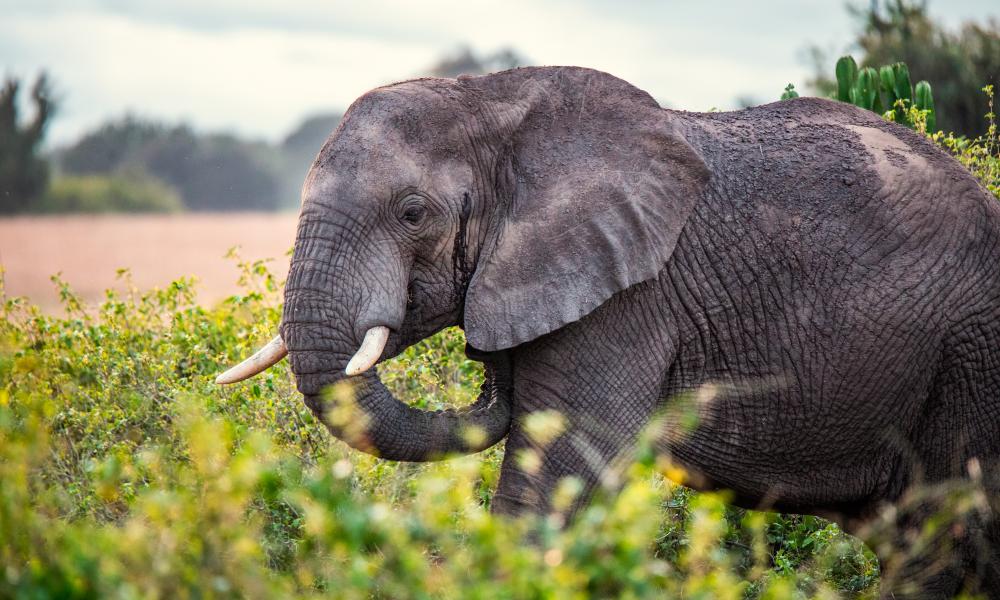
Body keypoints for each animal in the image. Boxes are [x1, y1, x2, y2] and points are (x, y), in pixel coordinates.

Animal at [217, 66, 1000, 598]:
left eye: (412, 213)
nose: (486, 363)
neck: (490, 103)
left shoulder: (629, 297)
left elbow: (558, 480)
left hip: (972, 352)